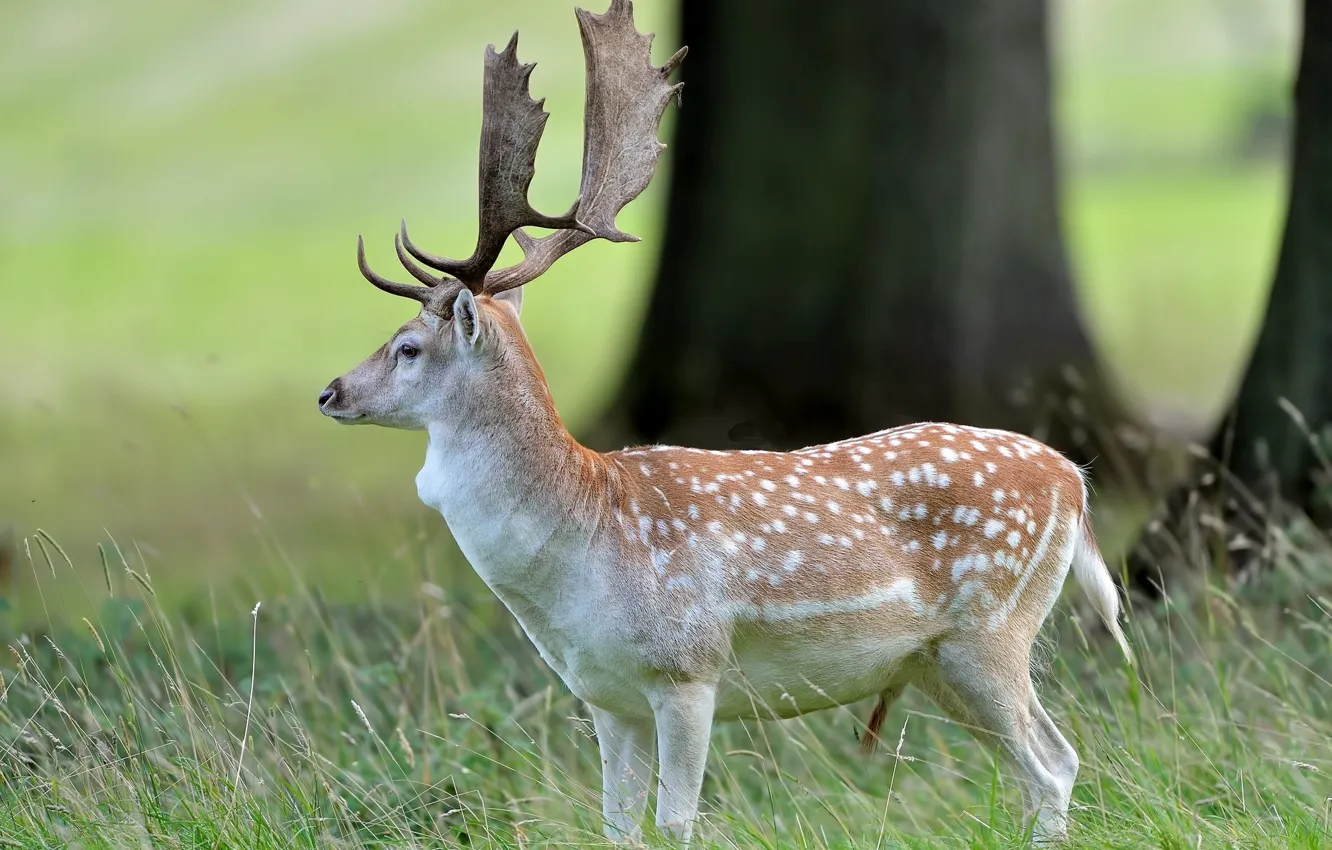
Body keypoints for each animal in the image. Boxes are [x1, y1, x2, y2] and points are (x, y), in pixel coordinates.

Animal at [317, 1, 1134, 845]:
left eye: (408, 347)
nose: (331, 392)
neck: (583, 546)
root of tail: (1073, 478)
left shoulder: (689, 667)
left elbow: (676, 822)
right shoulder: (605, 697)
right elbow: (619, 826)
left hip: (991, 628)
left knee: (1053, 765)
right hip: (935, 663)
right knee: (1051, 760)